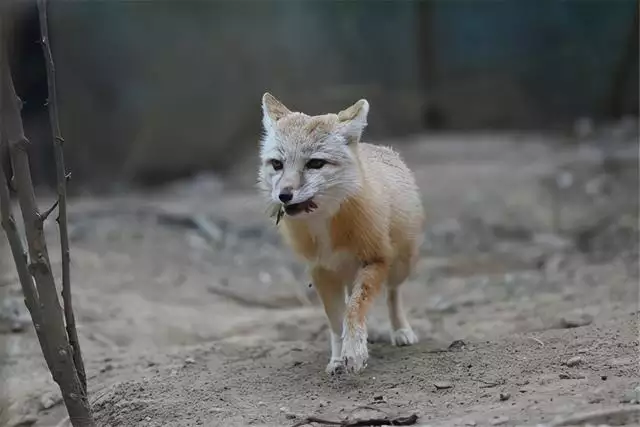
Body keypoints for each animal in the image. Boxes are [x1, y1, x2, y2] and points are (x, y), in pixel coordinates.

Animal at [255, 93, 424, 374]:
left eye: (315, 163)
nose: (284, 195)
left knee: (393, 293)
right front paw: (337, 358)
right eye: (277, 164)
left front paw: (354, 352)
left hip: (400, 265)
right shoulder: (322, 271)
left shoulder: (375, 260)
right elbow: (336, 320)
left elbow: (354, 309)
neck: (324, 227)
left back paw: (401, 330)